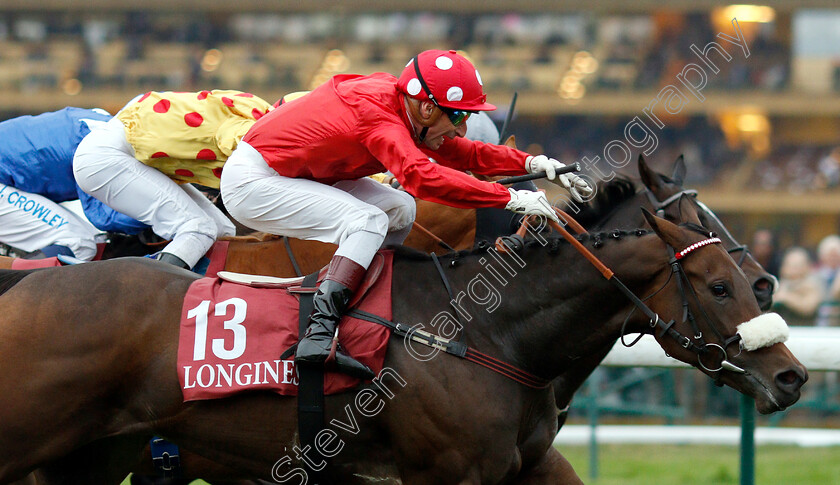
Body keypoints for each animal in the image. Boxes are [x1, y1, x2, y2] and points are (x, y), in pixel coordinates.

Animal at [0, 206, 804, 482]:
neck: (483, 329)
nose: (792, 375)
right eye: (719, 285)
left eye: (745, 275)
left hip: (91, 457)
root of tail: (24, 289)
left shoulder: (515, 468)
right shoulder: (444, 474)